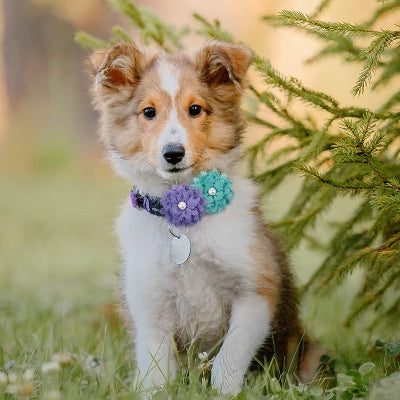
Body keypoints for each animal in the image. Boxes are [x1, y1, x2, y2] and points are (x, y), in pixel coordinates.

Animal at [87, 39, 324, 394]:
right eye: (148, 112)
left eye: (195, 109)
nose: (173, 154)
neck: (182, 215)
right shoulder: (151, 308)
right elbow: (156, 375)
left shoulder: (256, 292)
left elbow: (229, 358)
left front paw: (226, 393)